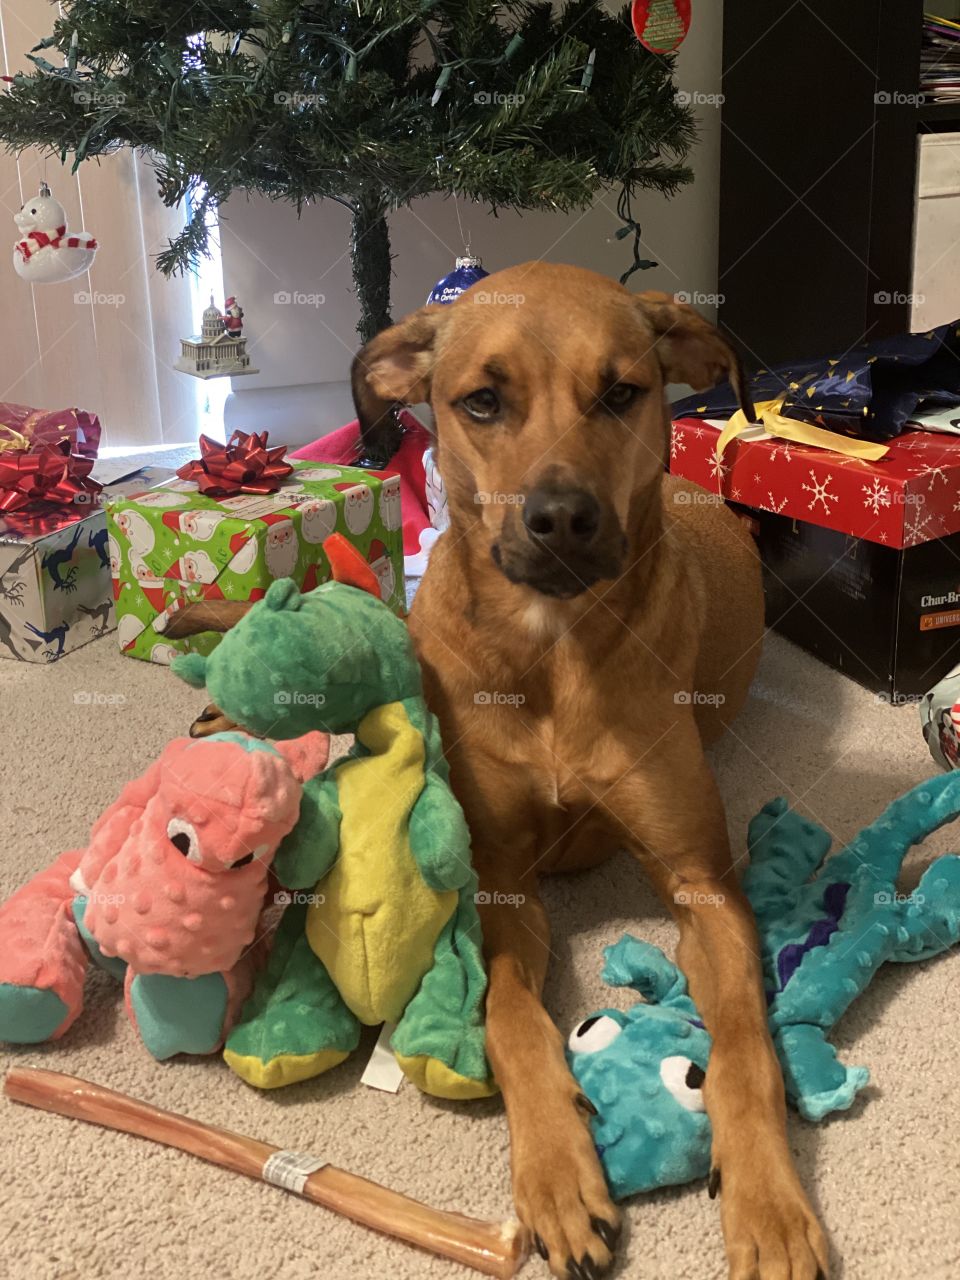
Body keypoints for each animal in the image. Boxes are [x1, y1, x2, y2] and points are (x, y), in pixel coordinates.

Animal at [176, 262, 829, 1280]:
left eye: (621, 393)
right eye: (481, 401)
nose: (562, 520)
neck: (552, 647)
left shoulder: (703, 882)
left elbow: (744, 1042)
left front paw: (769, 1203)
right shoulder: (501, 878)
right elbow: (510, 1017)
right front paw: (558, 1175)